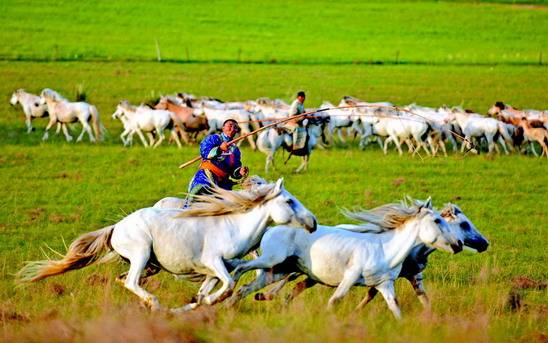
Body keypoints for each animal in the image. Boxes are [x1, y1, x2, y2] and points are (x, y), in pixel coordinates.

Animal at [17, 180, 316, 314]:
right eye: (289, 201)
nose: (313, 223)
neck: (234, 226)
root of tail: (116, 227)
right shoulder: (214, 262)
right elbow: (230, 285)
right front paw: (209, 302)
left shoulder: (213, 271)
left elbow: (209, 289)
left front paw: (198, 303)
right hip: (141, 253)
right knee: (131, 282)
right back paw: (155, 305)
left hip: (150, 264)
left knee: (122, 279)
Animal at [229, 199, 460, 320]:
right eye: (437, 220)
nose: (457, 244)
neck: (385, 250)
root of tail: (271, 228)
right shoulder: (350, 277)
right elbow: (335, 299)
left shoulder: (385, 284)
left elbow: (395, 308)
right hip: (270, 261)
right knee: (242, 268)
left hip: (277, 271)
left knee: (247, 289)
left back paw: (229, 305)